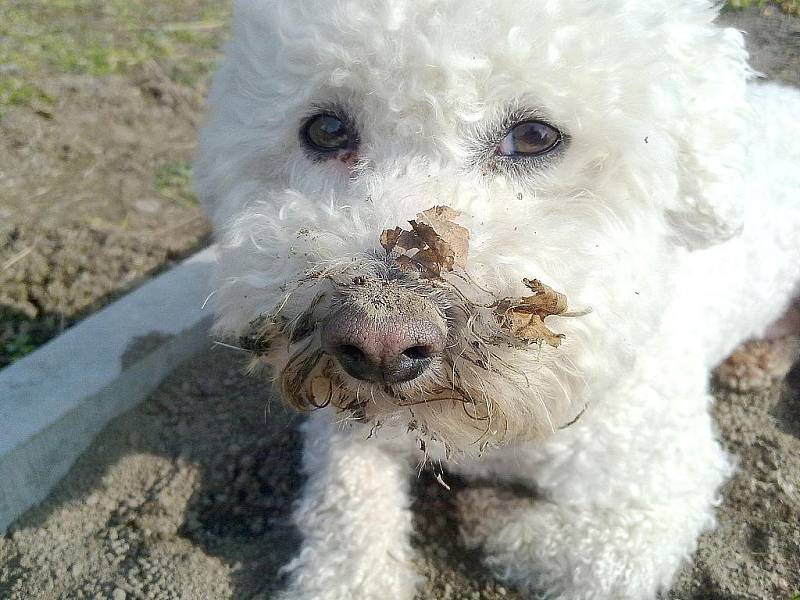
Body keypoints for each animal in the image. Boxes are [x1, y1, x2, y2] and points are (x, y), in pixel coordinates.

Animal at [195, 2, 800, 596]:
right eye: (325, 130)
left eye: (534, 135)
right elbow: (344, 525)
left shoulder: (657, 492)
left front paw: (486, 512)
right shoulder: (347, 431)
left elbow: (591, 557)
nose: (379, 342)